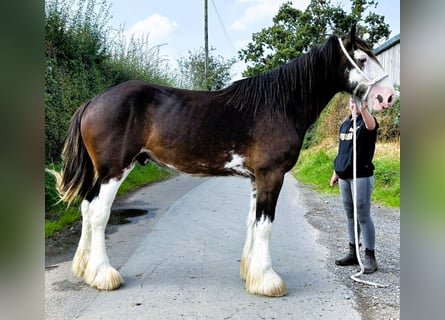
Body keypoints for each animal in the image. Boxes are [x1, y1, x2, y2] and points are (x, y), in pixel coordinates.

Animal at [50, 25, 394, 298]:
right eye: (363, 59)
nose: (387, 97)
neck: (279, 105)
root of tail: (93, 101)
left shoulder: (257, 178)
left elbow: (253, 222)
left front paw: (251, 273)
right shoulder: (271, 175)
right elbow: (265, 225)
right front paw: (268, 281)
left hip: (103, 173)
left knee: (86, 207)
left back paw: (83, 269)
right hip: (114, 170)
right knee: (98, 213)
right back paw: (103, 275)